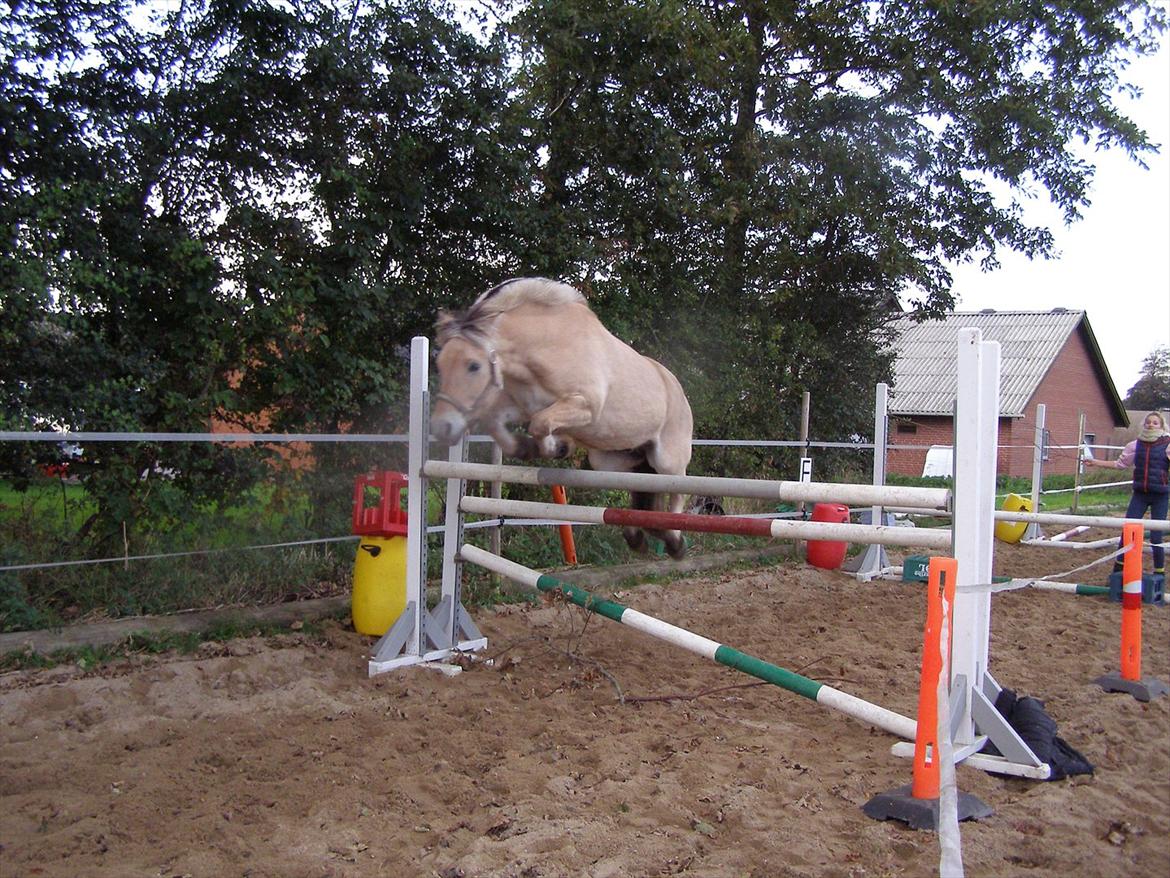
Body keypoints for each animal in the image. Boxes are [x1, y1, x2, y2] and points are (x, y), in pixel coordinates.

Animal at [430, 278, 687, 559]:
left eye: (473, 366)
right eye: (440, 364)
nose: (442, 428)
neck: (546, 348)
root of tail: (676, 386)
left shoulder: (585, 406)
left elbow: (540, 424)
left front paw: (558, 447)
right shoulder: (524, 405)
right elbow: (500, 425)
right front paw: (532, 448)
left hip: (667, 460)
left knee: (676, 491)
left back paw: (674, 542)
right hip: (612, 460)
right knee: (640, 488)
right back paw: (638, 537)